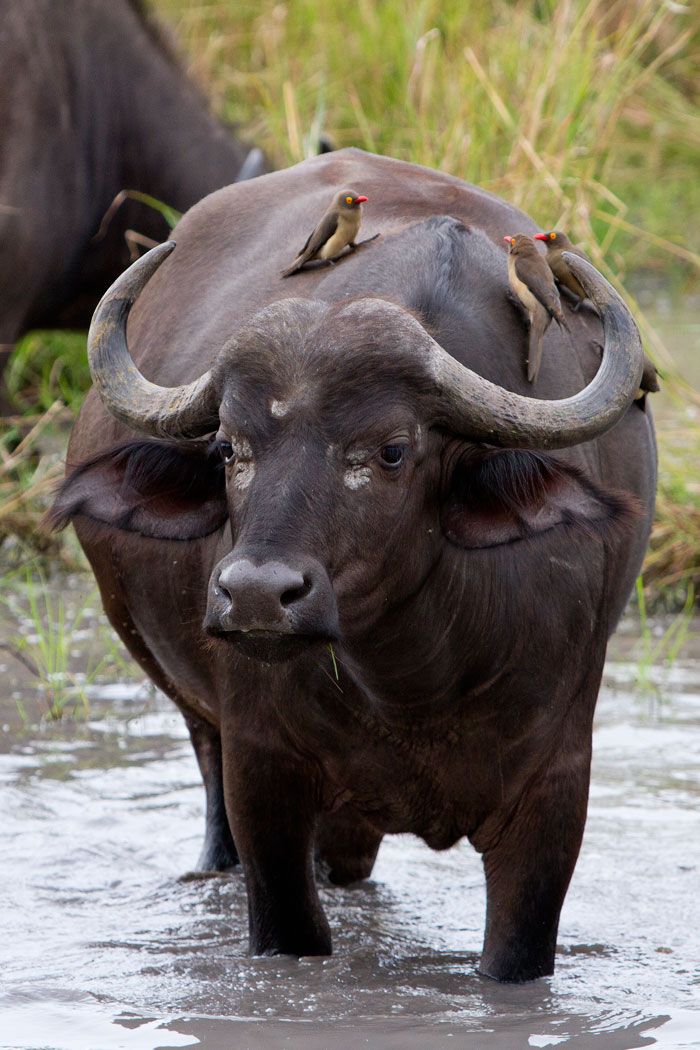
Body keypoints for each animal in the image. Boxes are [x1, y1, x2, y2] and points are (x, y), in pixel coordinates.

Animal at [52, 148, 656, 983]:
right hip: (199, 720)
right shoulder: (263, 778)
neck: (414, 678)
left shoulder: (555, 794)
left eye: (392, 450)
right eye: (228, 449)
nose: (255, 596)